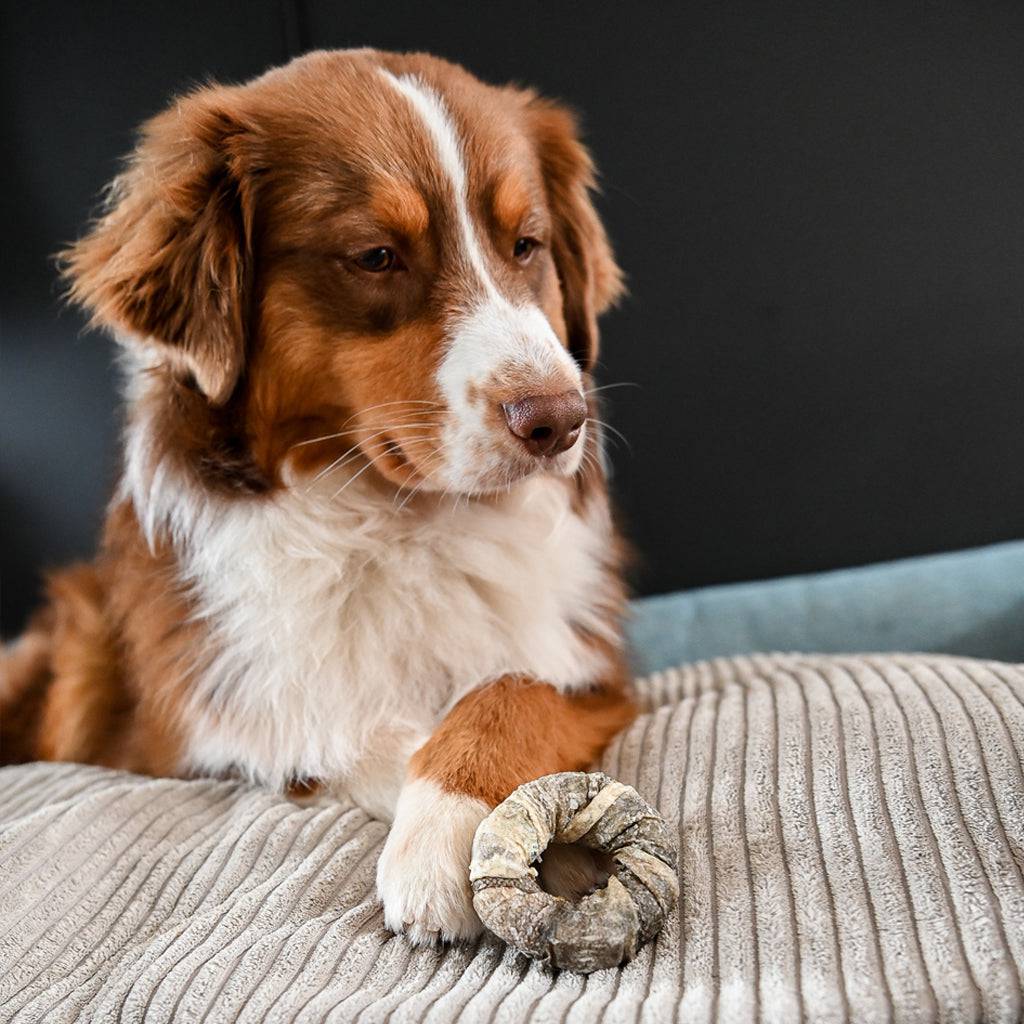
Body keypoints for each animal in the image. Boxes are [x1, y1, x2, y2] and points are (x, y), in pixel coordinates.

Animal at [0, 48, 634, 942]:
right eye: (375, 255)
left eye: (526, 245)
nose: (560, 420)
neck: (398, 521)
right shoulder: (205, 718)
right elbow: (338, 731)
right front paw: (477, 829)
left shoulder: (594, 669)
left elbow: (509, 689)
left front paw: (460, 821)